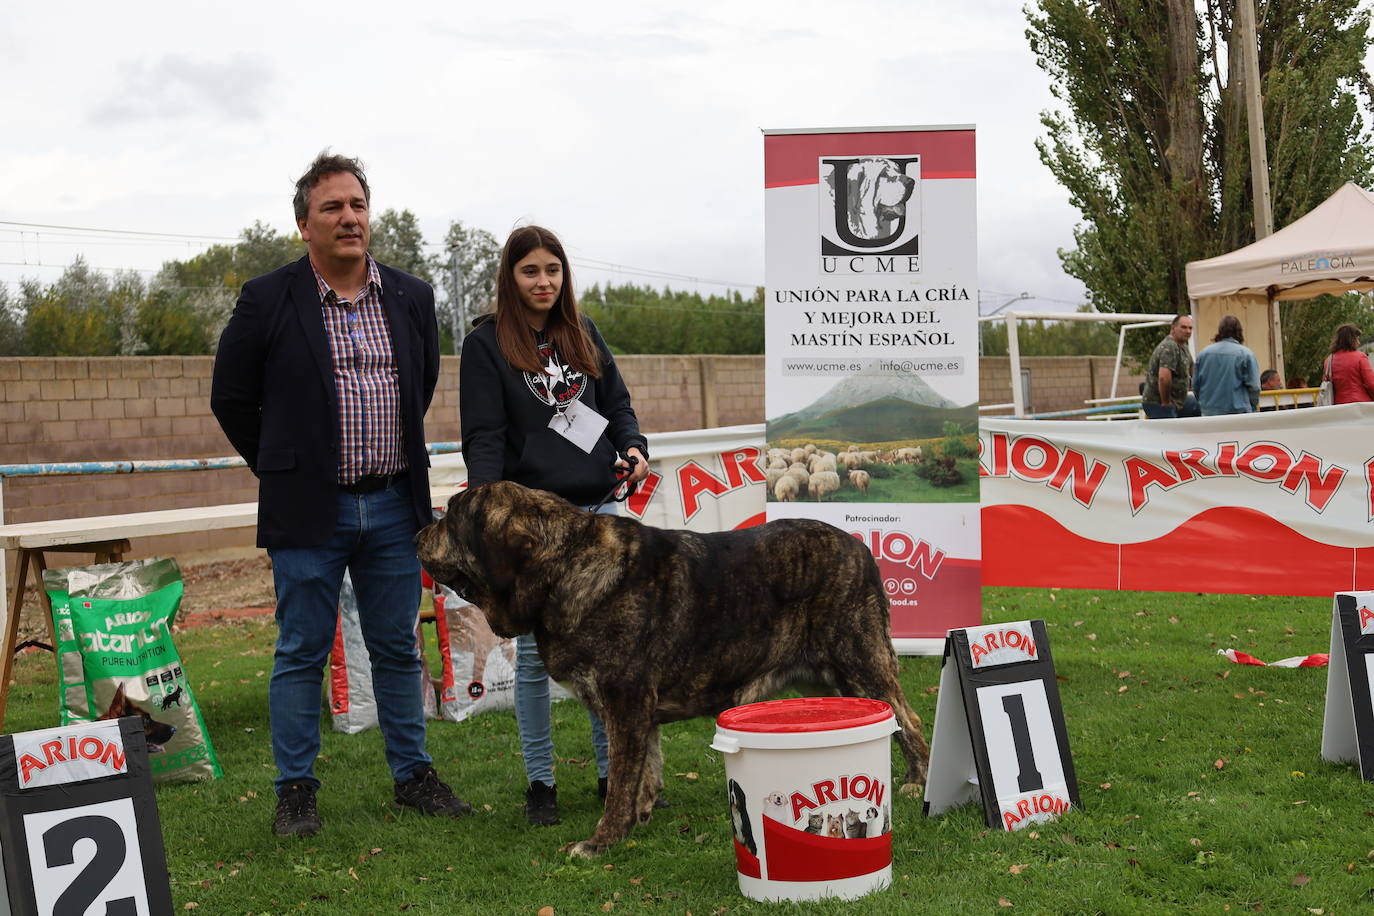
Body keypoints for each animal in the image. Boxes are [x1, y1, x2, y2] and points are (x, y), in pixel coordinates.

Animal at [414, 480, 934, 862]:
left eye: (453, 516)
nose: (419, 533)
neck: (566, 565)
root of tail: (860, 547)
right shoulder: (636, 710)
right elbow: (645, 768)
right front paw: (639, 817)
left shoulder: (625, 702)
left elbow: (620, 779)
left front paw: (602, 840)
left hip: (860, 661)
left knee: (908, 720)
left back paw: (917, 782)